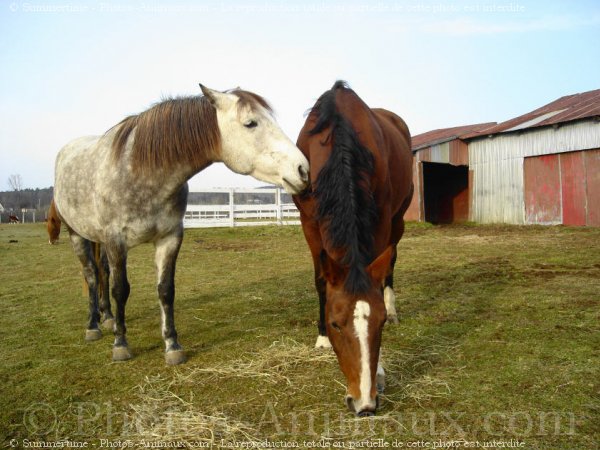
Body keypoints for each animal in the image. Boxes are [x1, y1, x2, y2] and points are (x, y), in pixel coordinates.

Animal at [54, 84, 310, 366]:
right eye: (250, 123)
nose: (302, 169)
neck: (142, 173)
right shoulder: (116, 241)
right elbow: (120, 290)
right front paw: (121, 344)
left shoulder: (169, 238)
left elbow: (165, 290)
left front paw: (172, 345)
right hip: (77, 234)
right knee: (90, 274)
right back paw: (93, 326)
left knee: (102, 272)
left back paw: (108, 318)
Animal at [292, 81, 414, 414]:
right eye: (335, 324)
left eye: (380, 323)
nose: (364, 403)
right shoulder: (309, 222)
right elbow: (321, 280)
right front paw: (321, 338)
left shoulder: (381, 217)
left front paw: (380, 368)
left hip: (398, 219)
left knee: (392, 260)